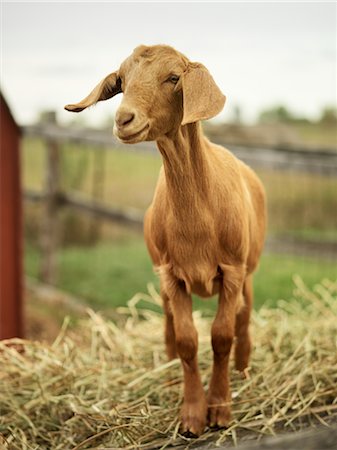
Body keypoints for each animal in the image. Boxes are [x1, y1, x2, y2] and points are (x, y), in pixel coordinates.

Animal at [65, 45, 266, 436]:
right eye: (121, 80)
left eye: (174, 78)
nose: (123, 119)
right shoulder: (172, 274)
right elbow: (188, 341)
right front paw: (192, 414)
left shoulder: (232, 271)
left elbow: (221, 336)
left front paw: (220, 409)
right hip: (162, 276)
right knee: (171, 323)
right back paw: (170, 366)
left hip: (249, 269)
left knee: (244, 316)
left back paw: (244, 367)